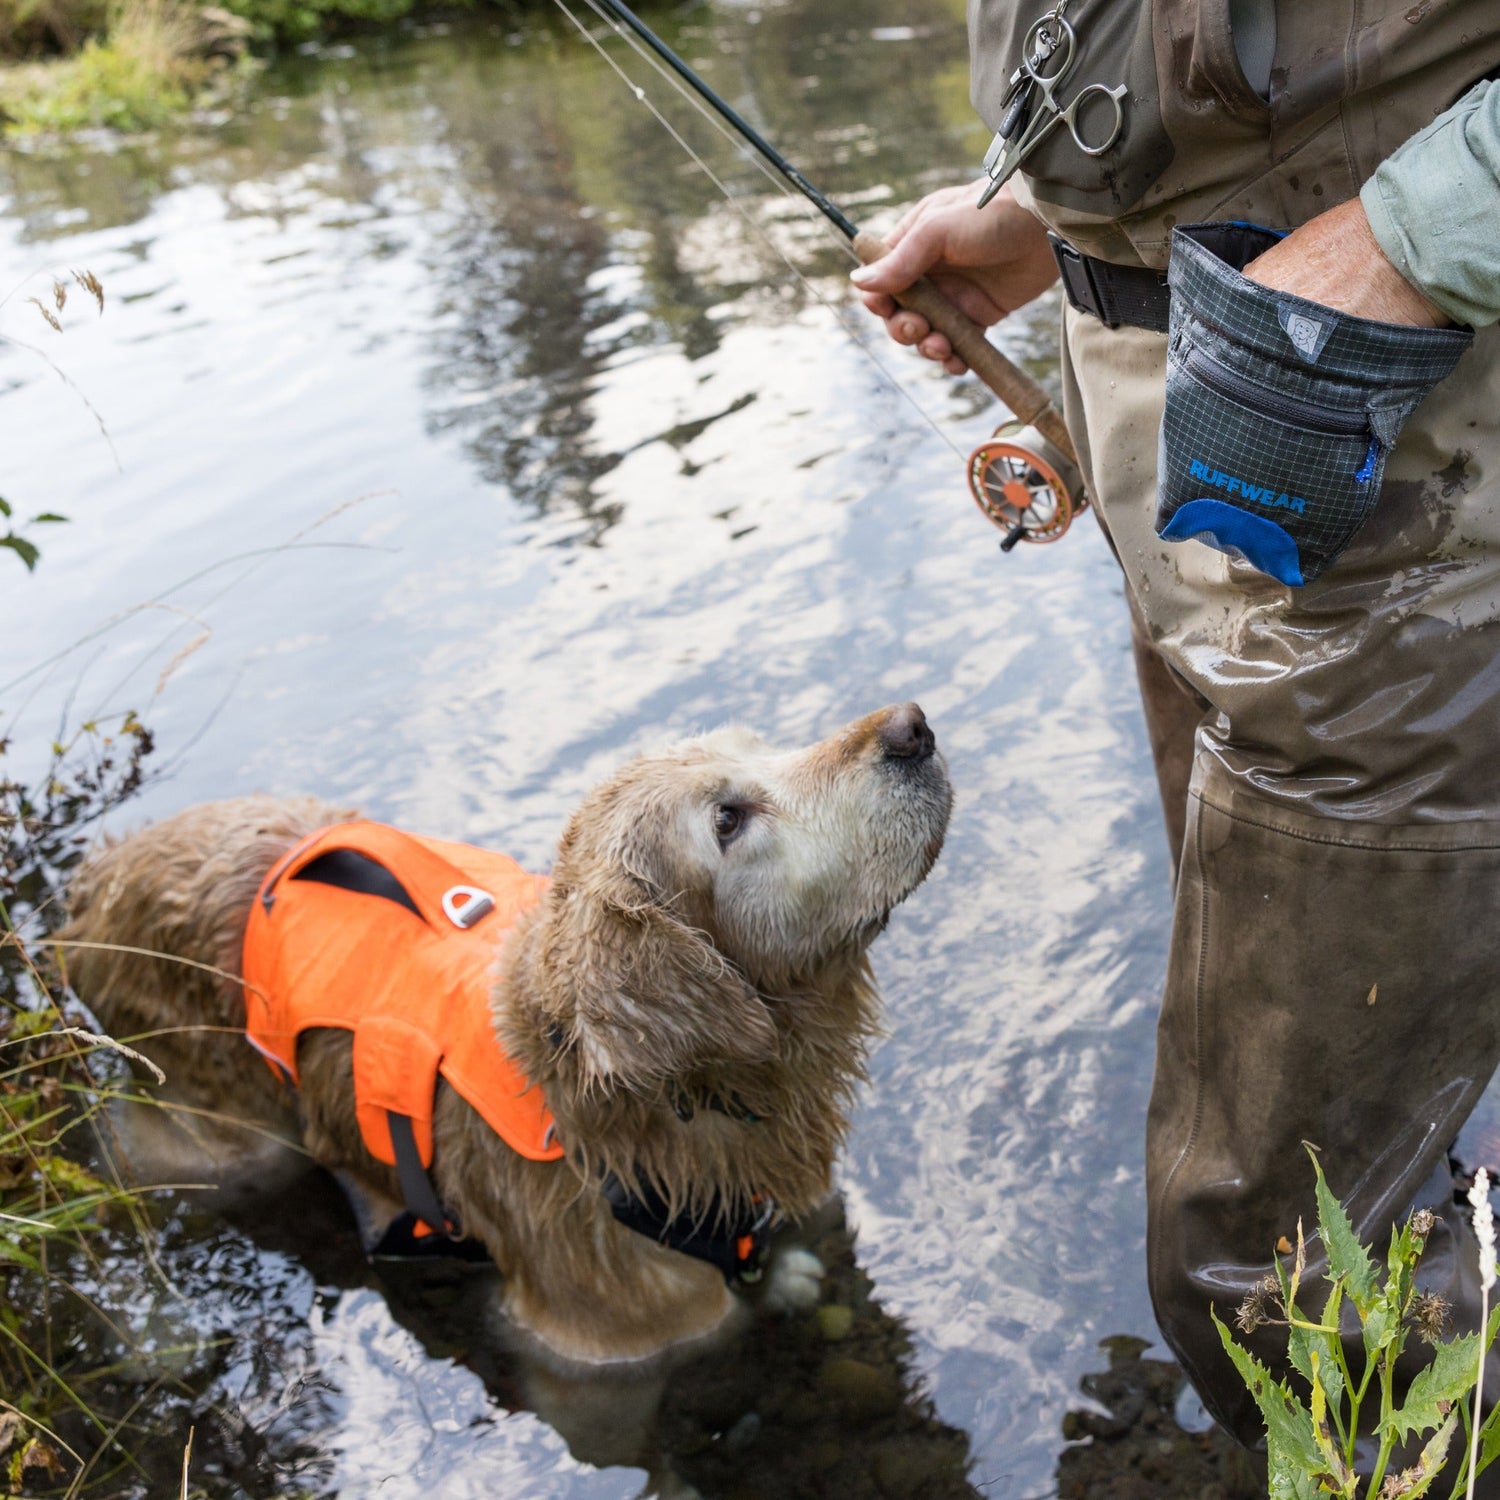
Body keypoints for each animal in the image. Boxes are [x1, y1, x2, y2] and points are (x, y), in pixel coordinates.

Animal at [61, 696, 948, 1368]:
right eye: (728, 819)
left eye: (764, 748)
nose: (913, 726)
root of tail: (96, 878)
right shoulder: (604, 1344)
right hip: (216, 1135)